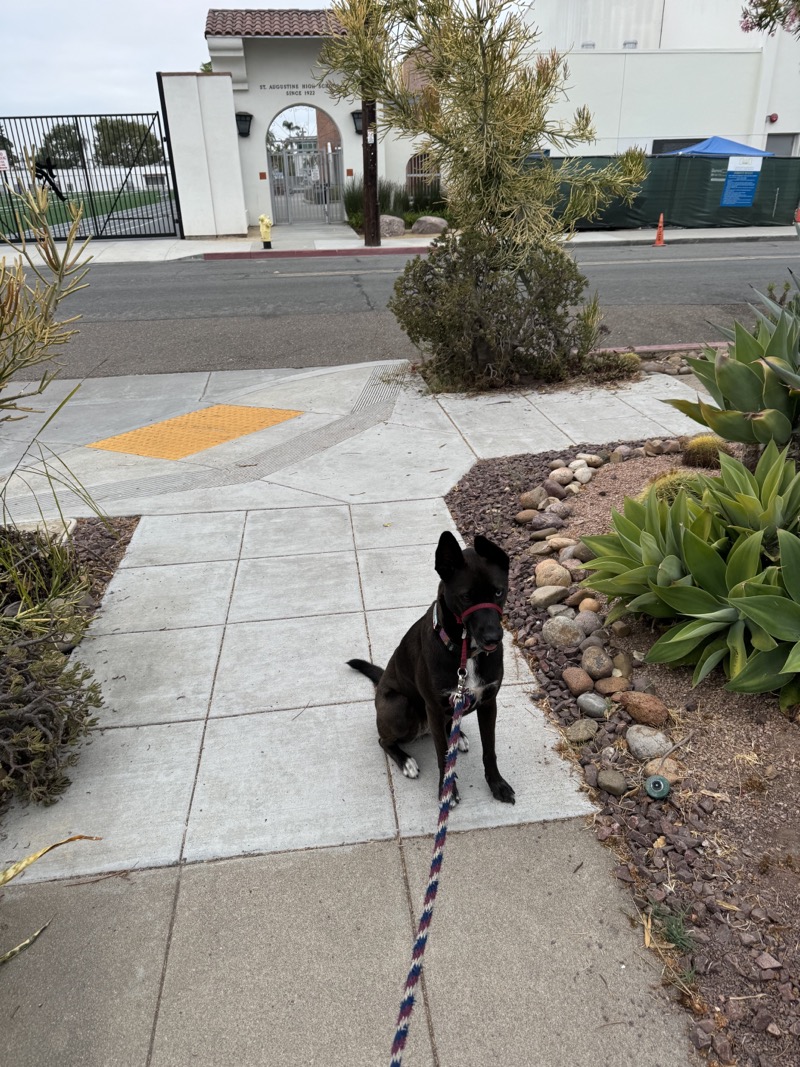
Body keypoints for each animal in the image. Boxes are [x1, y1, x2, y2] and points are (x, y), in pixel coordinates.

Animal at [349, 529, 514, 802]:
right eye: (466, 596)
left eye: (499, 592)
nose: (493, 638)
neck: (465, 653)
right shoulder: (435, 709)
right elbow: (442, 755)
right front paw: (447, 791)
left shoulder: (489, 703)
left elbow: (489, 751)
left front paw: (497, 784)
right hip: (400, 707)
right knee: (384, 740)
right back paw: (406, 760)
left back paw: (459, 736)